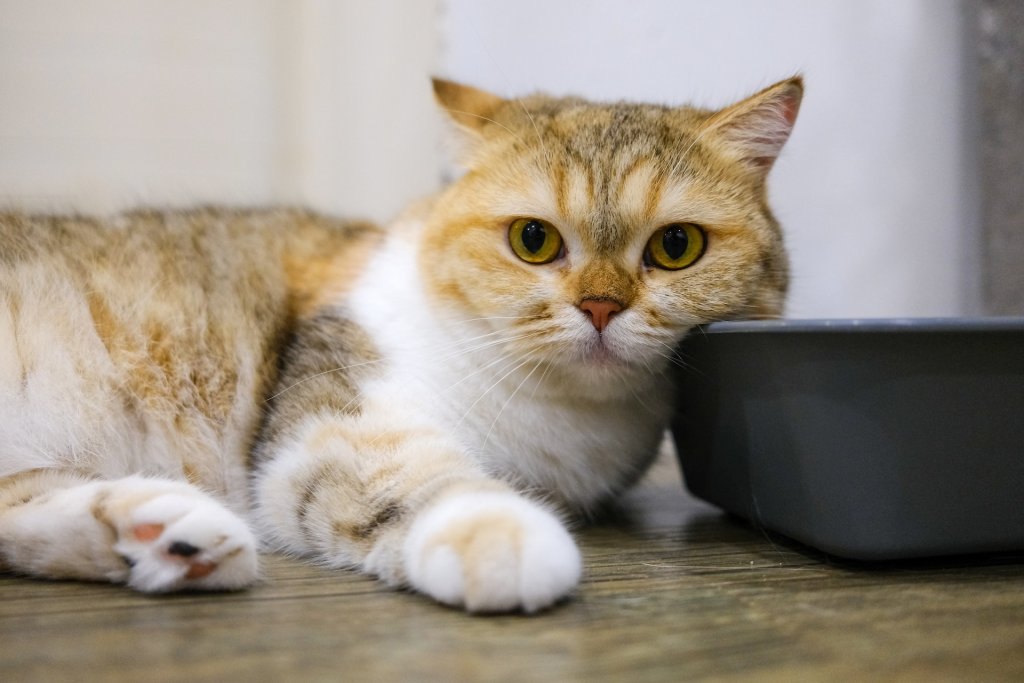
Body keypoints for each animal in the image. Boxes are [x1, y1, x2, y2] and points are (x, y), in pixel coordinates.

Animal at [0, 76, 798, 614]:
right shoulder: (333, 419)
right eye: (534, 240)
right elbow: (418, 478)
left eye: (676, 247)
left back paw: (166, 533)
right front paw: (503, 536)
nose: (601, 305)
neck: (560, 411)